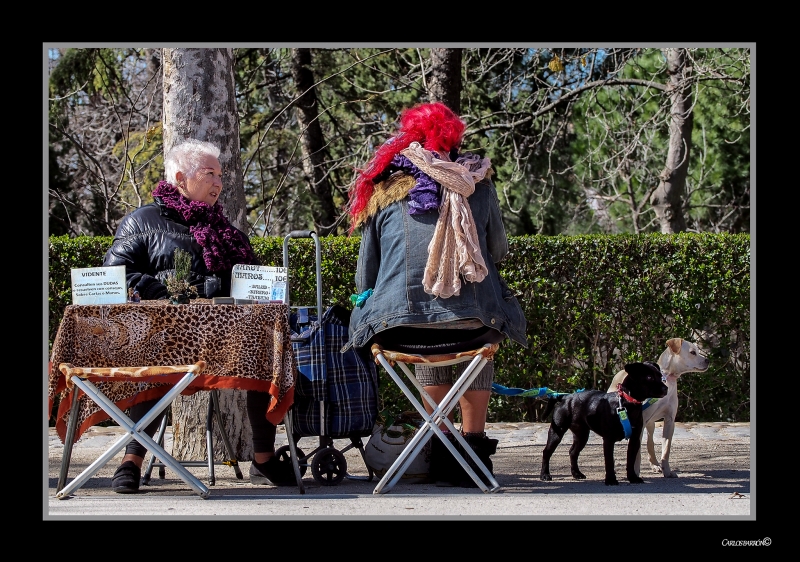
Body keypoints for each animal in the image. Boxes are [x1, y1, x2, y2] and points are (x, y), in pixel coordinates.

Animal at [608, 340, 708, 474]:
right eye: (692, 352)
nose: (707, 360)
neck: (668, 379)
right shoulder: (640, 423)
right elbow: (637, 452)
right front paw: (635, 471)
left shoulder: (669, 420)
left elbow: (666, 449)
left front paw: (667, 471)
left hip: (650, 424)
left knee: (650, 442)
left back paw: (655, 464)